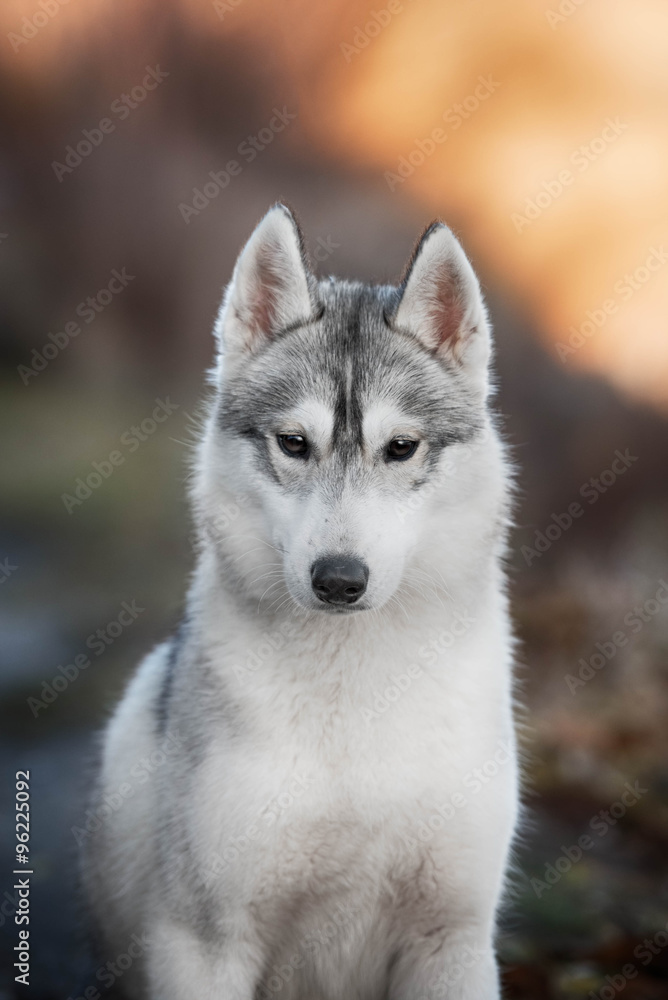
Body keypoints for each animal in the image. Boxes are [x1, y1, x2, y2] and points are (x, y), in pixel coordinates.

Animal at [83, 205, 520, 1000]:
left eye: (401, 448)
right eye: (293, 443)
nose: (339, 579)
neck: (354, 693)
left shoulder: (450, 938)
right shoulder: (203, 942)